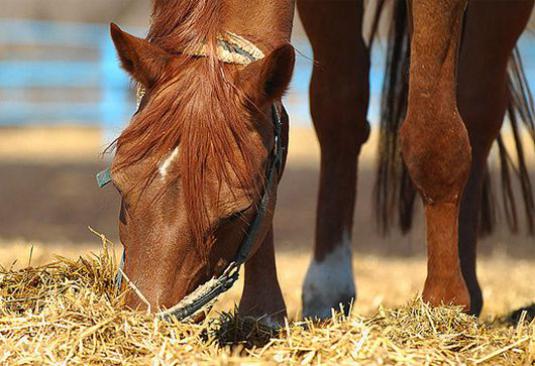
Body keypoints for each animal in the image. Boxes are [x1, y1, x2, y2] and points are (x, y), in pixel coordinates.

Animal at [108, 0, 532, 324]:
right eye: (120, 187)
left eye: (236, 212)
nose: (143, 319)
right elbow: (327, 111)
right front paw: (263, 310)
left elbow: (434, 140)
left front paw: (442, 303)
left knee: (478, 106)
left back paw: (466, 288)